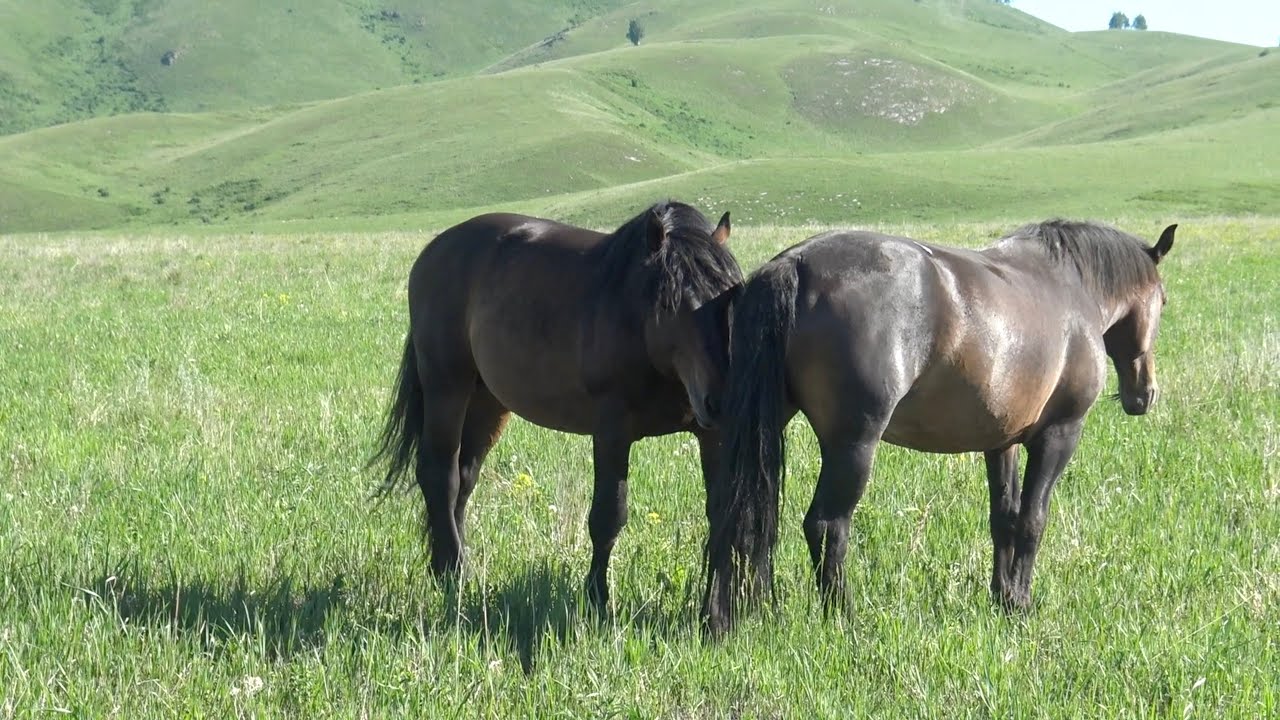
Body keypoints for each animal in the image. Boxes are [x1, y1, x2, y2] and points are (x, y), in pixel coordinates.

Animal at [371, 199, 742, 604]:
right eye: (670, 303)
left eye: (730, 295)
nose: (722, 398)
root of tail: (433, 251)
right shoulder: (612, 430)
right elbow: (608, 515)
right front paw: (597, 598)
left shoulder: (713, 436)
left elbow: (721, 514)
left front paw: (717, 600)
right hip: (446, 386)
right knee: (441, 474)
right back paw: (454, 571)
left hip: (487, 400)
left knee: (465, 478)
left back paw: (446, 566)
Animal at [706, 220, 1172, 632]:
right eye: (1164, 301)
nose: (1144, 394)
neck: (1070, 289)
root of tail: (796, 263)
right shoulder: (1058, 435)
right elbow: (1032, 520)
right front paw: (1021, 602)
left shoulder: (1001, 442)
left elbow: (1003, 518)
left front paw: (1002, 596)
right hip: (853, 445)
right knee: (826, 525)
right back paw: (843, 618)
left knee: (730, 515)